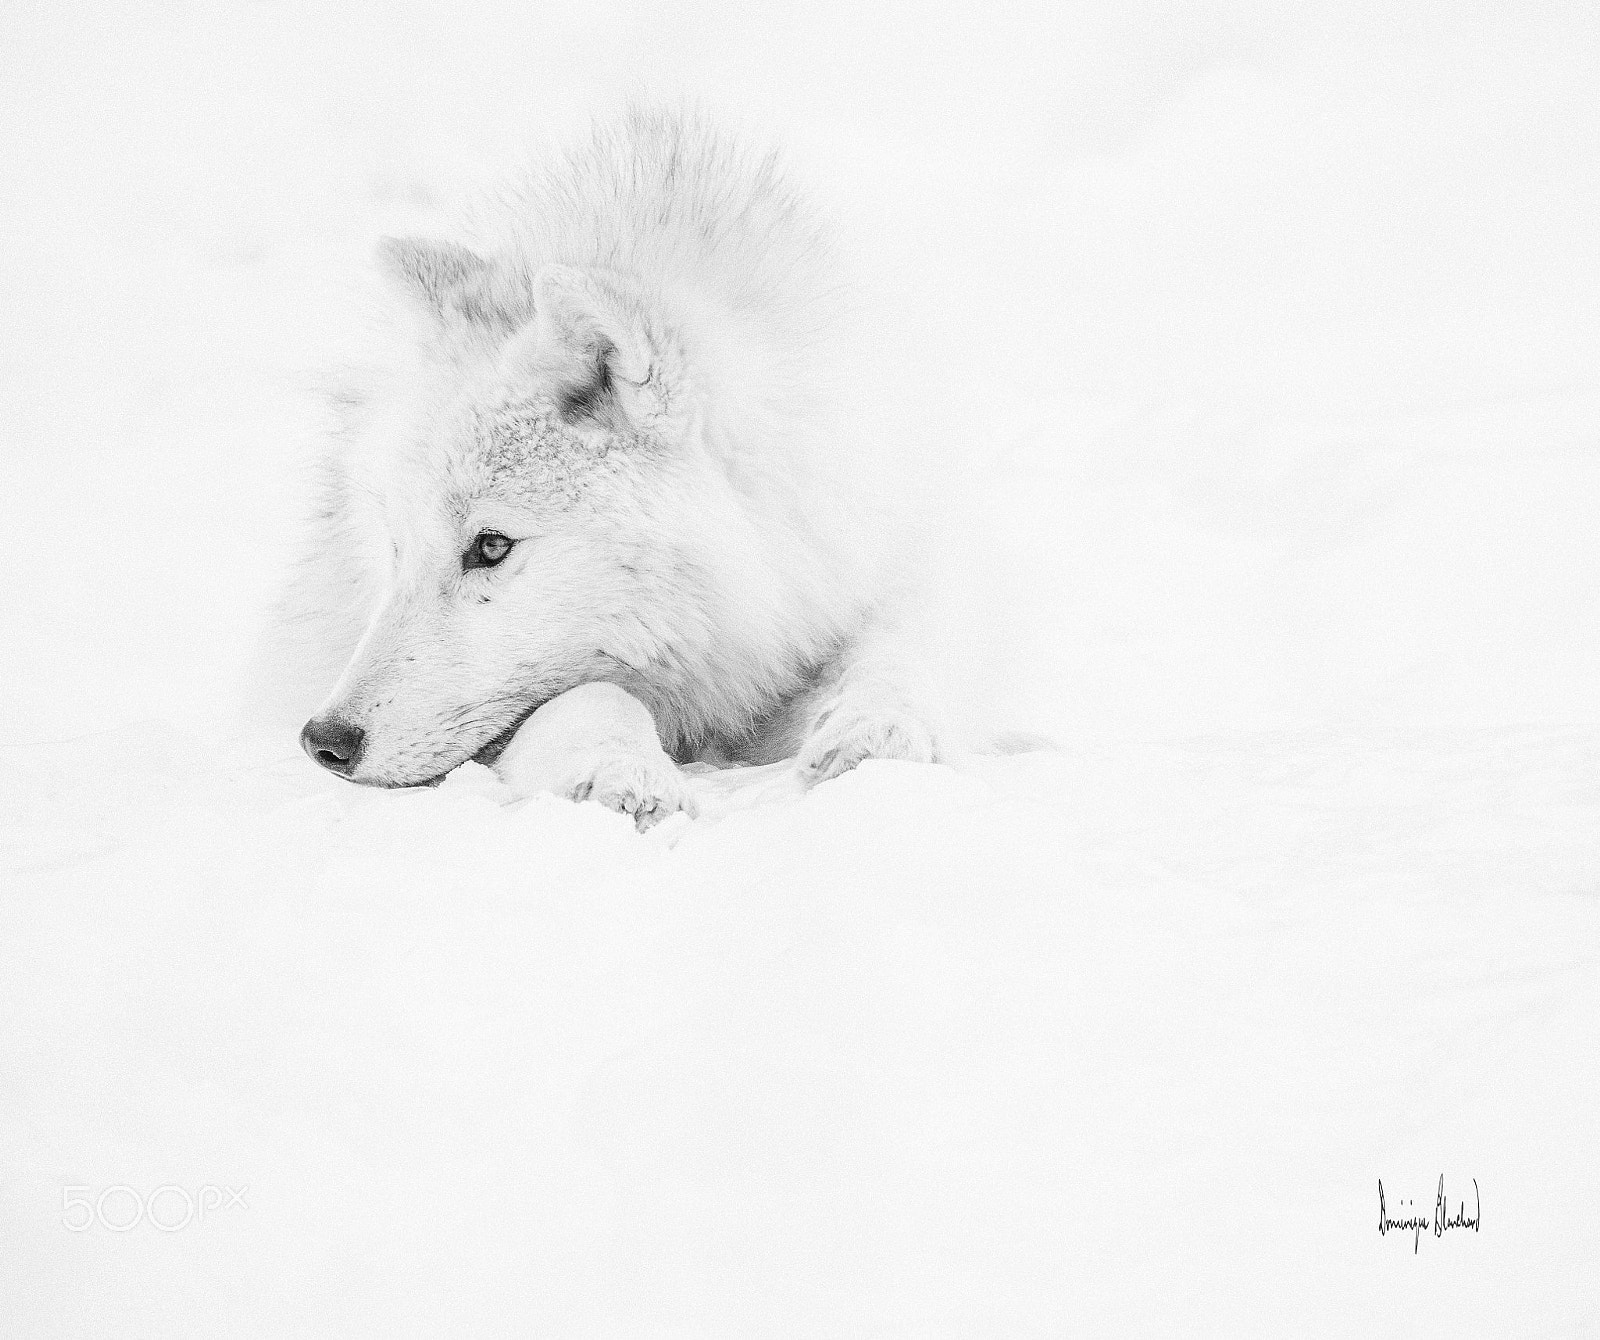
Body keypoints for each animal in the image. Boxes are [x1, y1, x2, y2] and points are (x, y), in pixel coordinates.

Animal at [272, 108, 942, 826]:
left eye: (491, 546)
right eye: (396, 547)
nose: (325, 741)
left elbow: (897, 646)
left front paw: (878, 732)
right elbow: (590, 697)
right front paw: (621, 773)